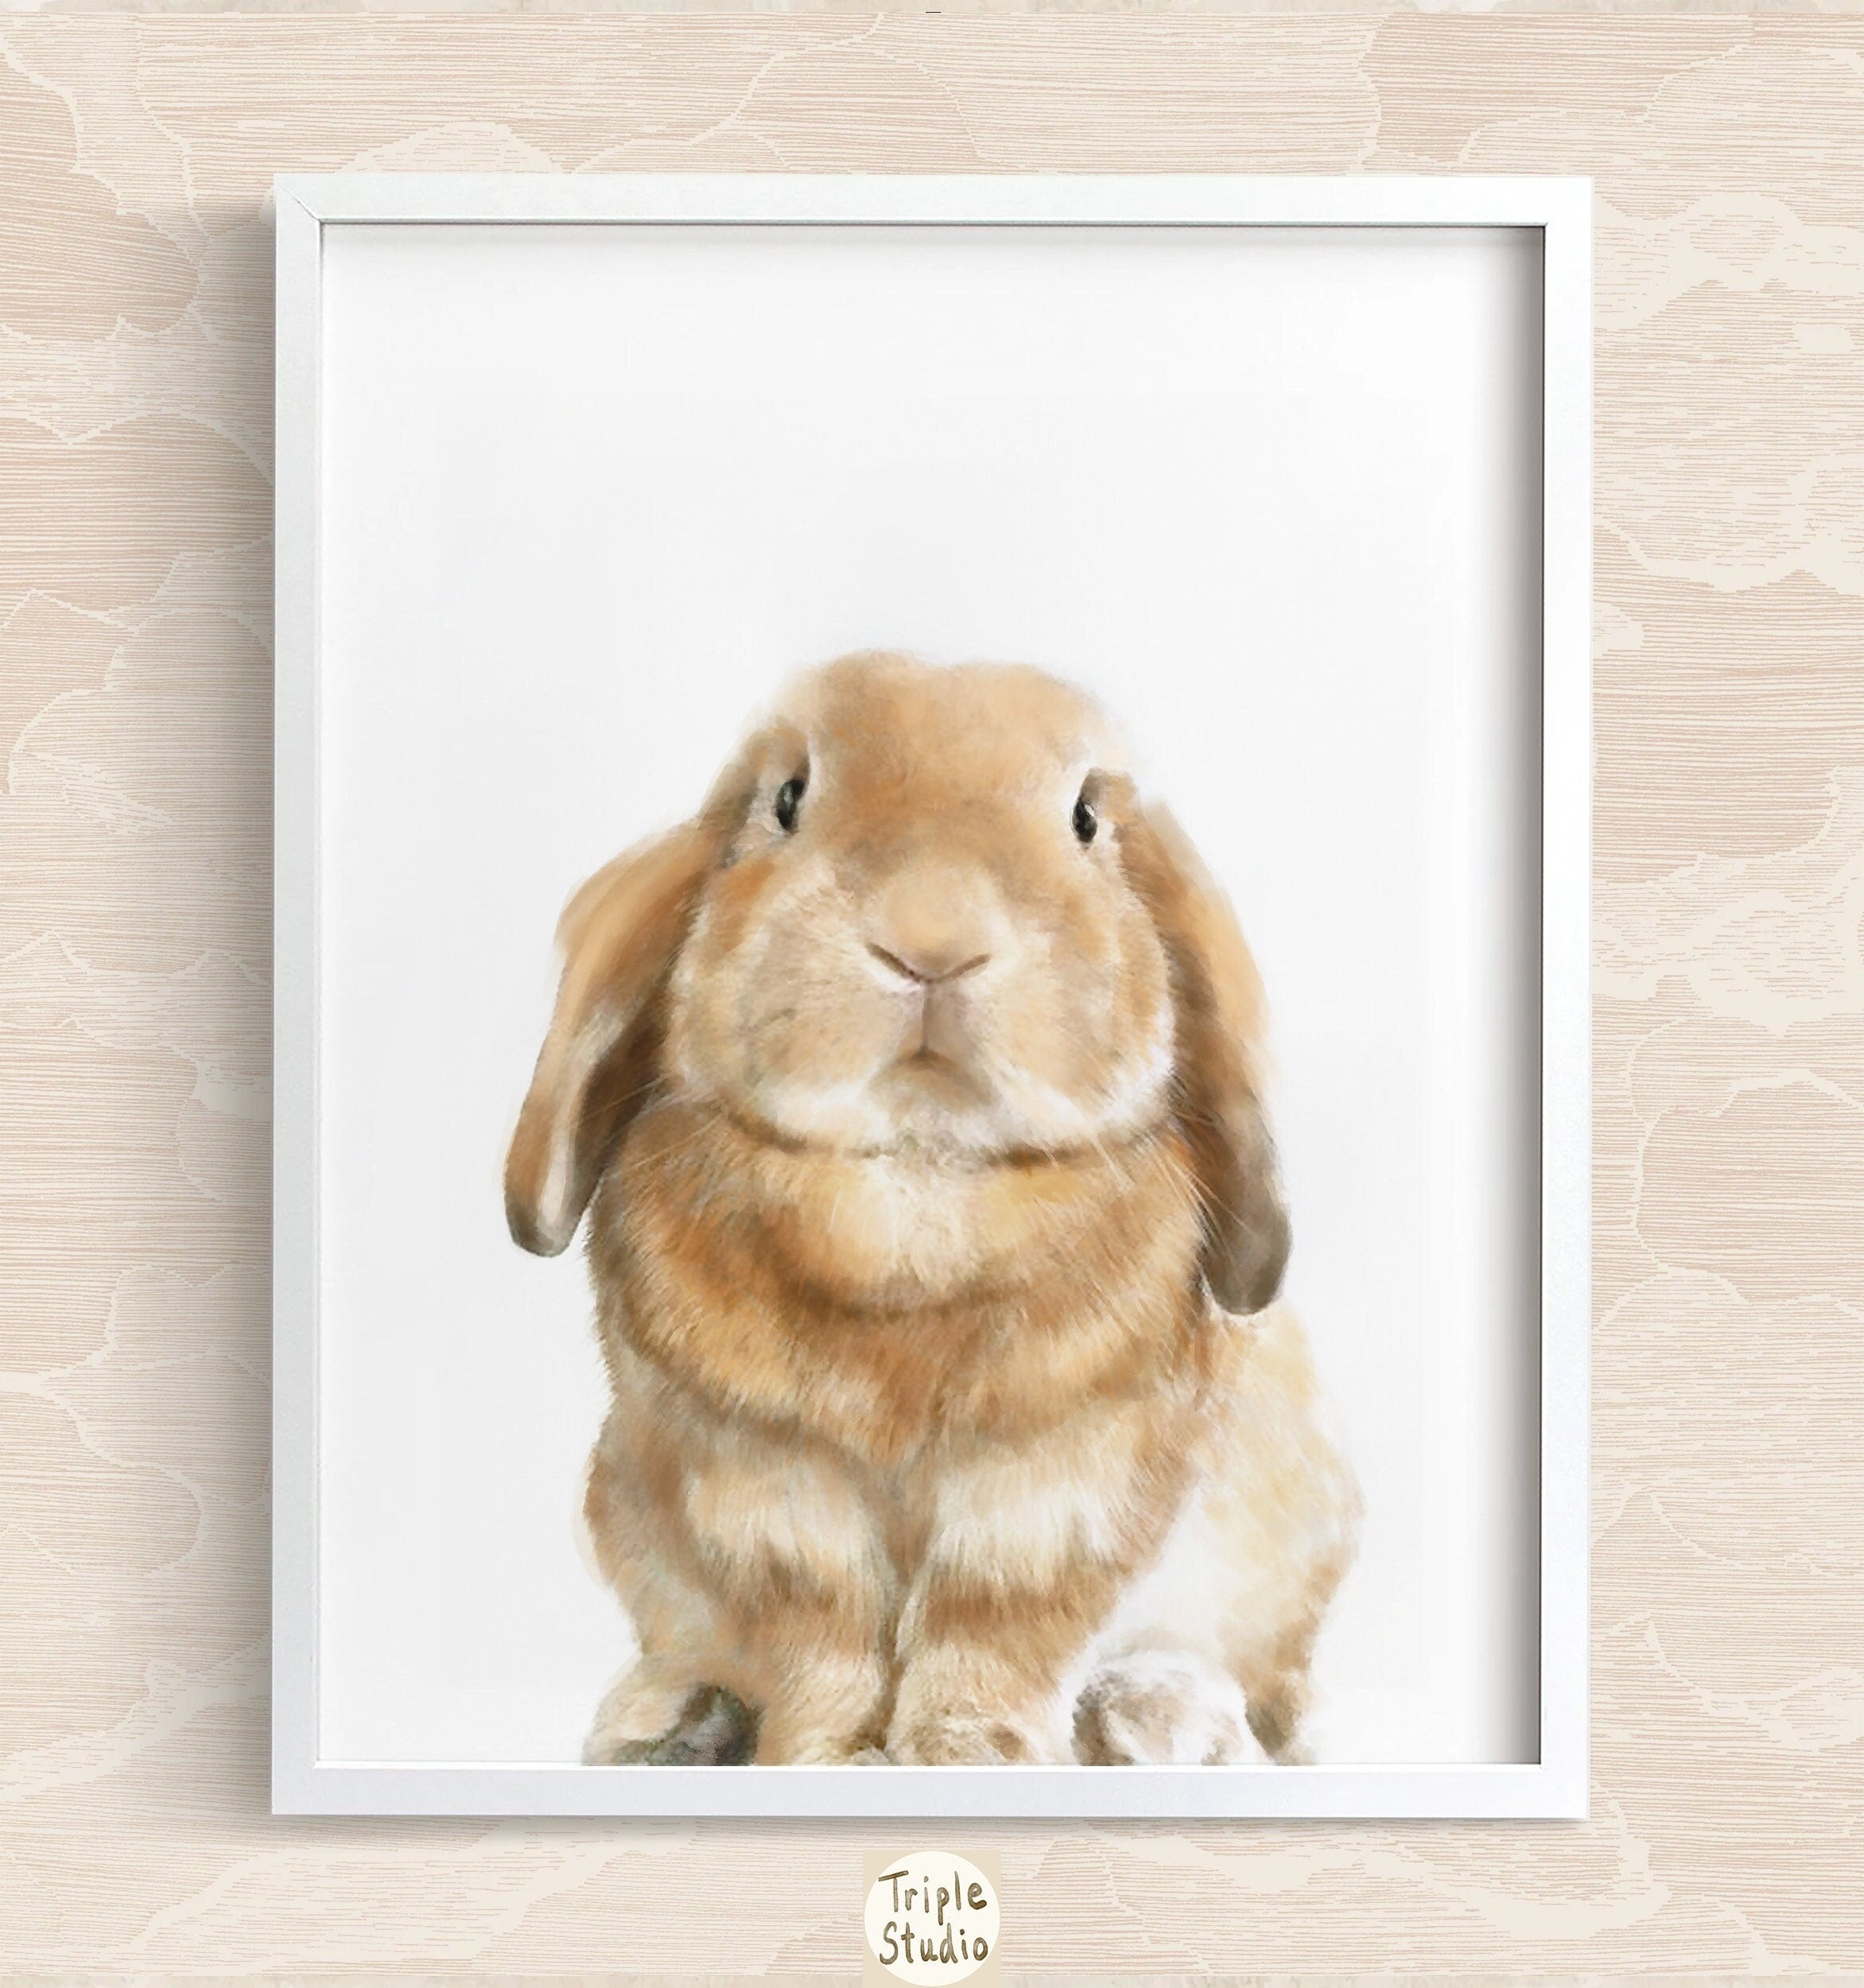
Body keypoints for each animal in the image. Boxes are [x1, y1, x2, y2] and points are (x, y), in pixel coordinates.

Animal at [506, 651, 1359, 1768]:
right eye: (787, 800)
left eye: (1085, 818)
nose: (932, 940)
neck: (917, 1180)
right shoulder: (763, 1484)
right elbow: (821, 1633)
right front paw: (821, 1757)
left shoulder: (1059, 1486)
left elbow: (991, 1629)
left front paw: (970, 1755)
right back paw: (665, 1720)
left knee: (1254, 1686)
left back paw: (1160, 1722)